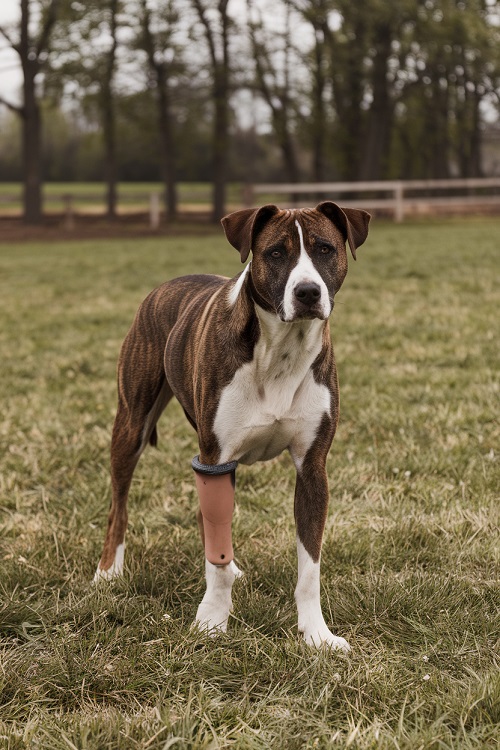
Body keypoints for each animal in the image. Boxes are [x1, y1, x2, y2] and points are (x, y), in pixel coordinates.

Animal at [95, 201, 372, 652]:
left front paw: (317, 635)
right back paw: (107, 571)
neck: (281, 349)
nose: (307, 292)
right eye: (275, 253)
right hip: (131, 424)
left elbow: (309, 567)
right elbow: (217, 559)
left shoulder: (312, 467)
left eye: (325, 249)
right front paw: (212, 622)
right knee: (119, 504)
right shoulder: (215, 458)